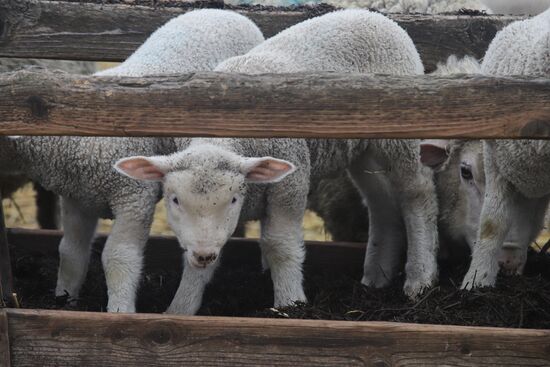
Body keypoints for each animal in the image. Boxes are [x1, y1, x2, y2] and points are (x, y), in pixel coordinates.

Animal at [1, 9, 266, 314]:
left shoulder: (134, 196)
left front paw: (120, 311)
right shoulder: (79, 199)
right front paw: (65, 299)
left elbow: (118, 256)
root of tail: (224, 11)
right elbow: (70, 253)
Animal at [118, 8, 442, 314]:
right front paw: (180, 308)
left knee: (417, 195)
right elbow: (196, 264)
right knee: (381, 204)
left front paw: (289, 304)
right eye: (174, 200)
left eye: (233, 199)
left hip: (402, 136)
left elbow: (280, 244)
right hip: (363, 149)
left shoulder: (290, 182)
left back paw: (419, 278)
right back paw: (376, 278)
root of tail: (369, 15)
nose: (204, 253)